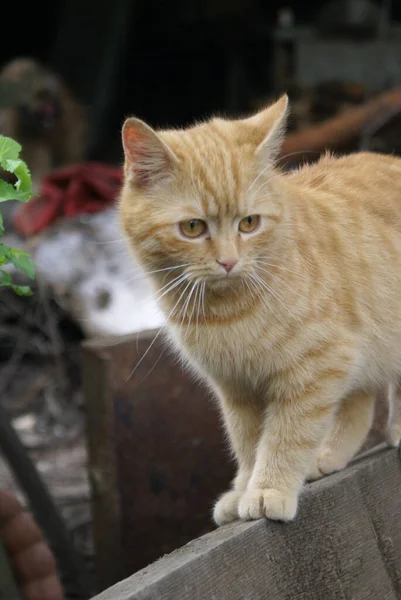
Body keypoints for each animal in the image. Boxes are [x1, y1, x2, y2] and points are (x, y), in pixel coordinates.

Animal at [119, 96, 400, 524]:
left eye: (249, 223)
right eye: (192, 228)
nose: (229, 262)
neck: (226, 312)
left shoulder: (318, 367)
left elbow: (286, 436)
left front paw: (268, 489)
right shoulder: (237, 389)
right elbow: (248, 444)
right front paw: (243, 489)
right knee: (361, 403)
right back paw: (328, 456)